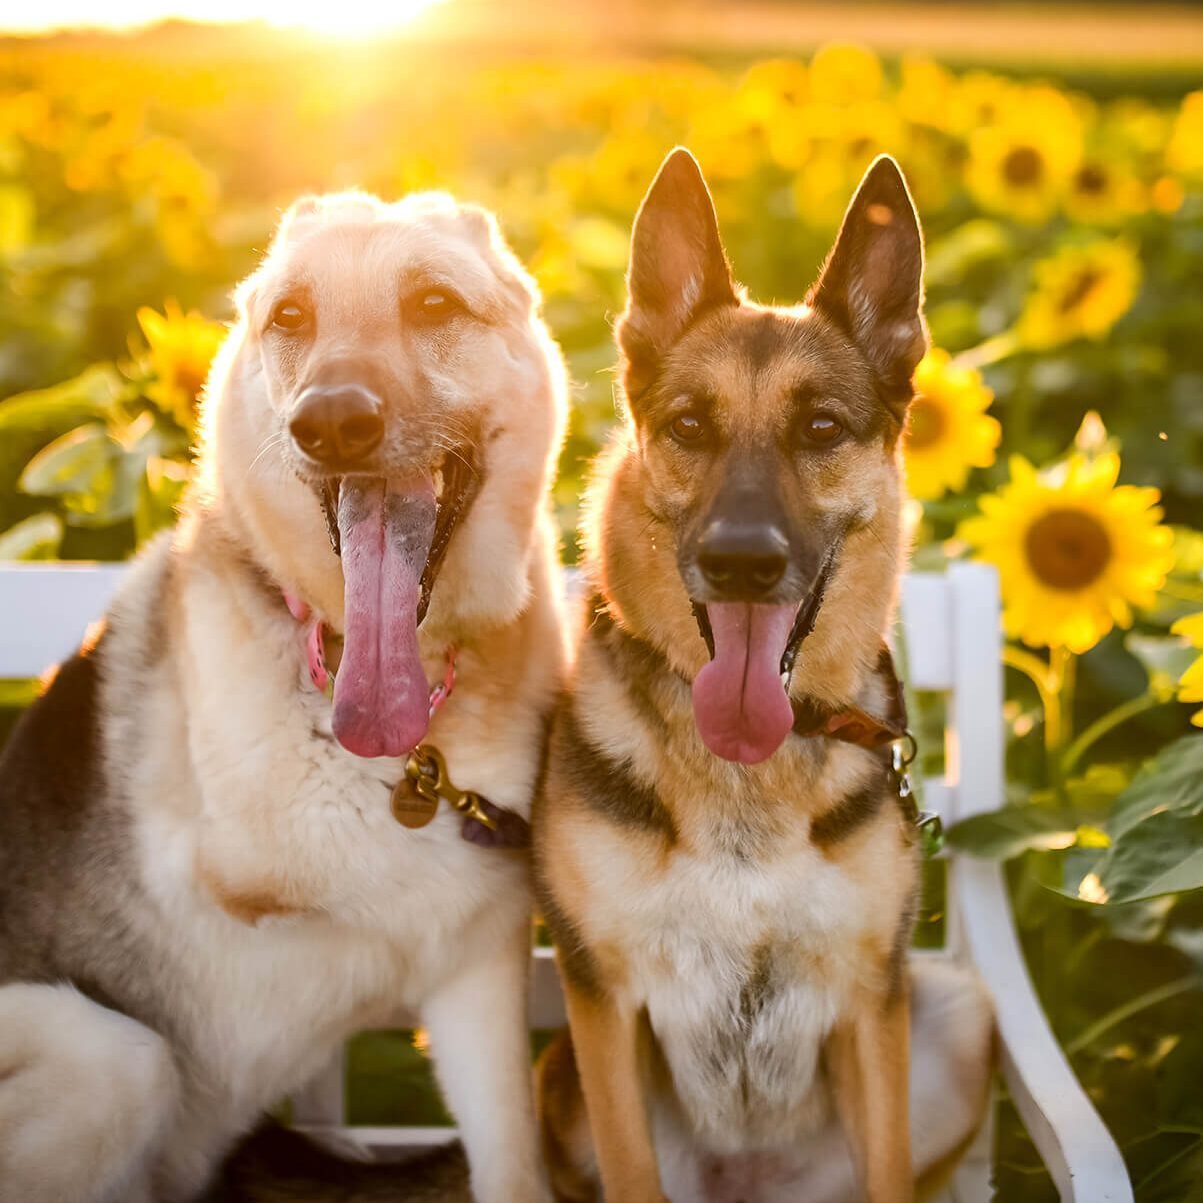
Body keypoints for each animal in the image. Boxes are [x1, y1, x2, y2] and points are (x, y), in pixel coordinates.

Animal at [0, 190, 565, 1203]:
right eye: (291, 318)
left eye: (432, 304)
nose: (330, 422)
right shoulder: (266, 887)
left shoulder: (477, 972)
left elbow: (508, 1157)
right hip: (110, 1057)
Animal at [531, 152, 991, 1203]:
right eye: (688, 426)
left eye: (819, 427)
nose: (741, 561)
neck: (746, 775)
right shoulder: (602, 1003)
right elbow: (632, 1172)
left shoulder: (871, 1001)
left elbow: (891, 1171)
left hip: (957, 1009)